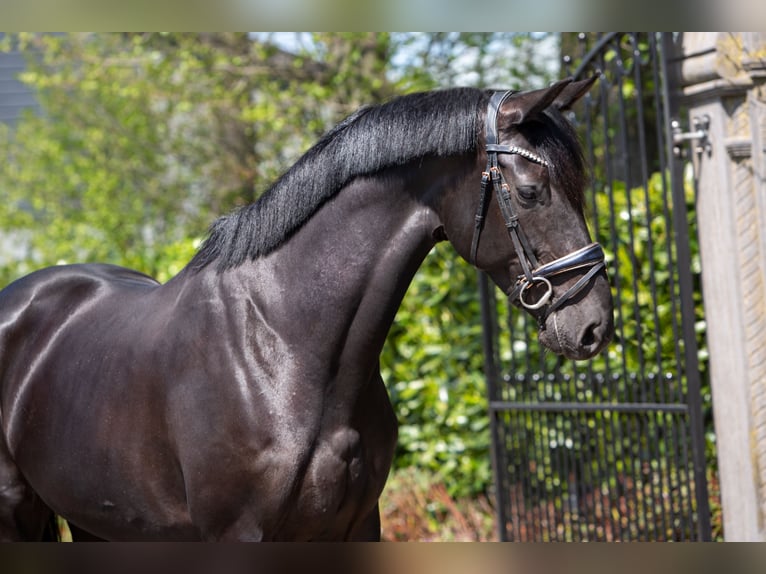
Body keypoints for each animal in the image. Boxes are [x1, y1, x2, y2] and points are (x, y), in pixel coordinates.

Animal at [0, 79, 612, 544]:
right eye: (531, 191)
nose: (594, 326)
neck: (284, 348)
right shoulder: (237, 537)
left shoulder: (358, 525)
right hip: (19, 513)